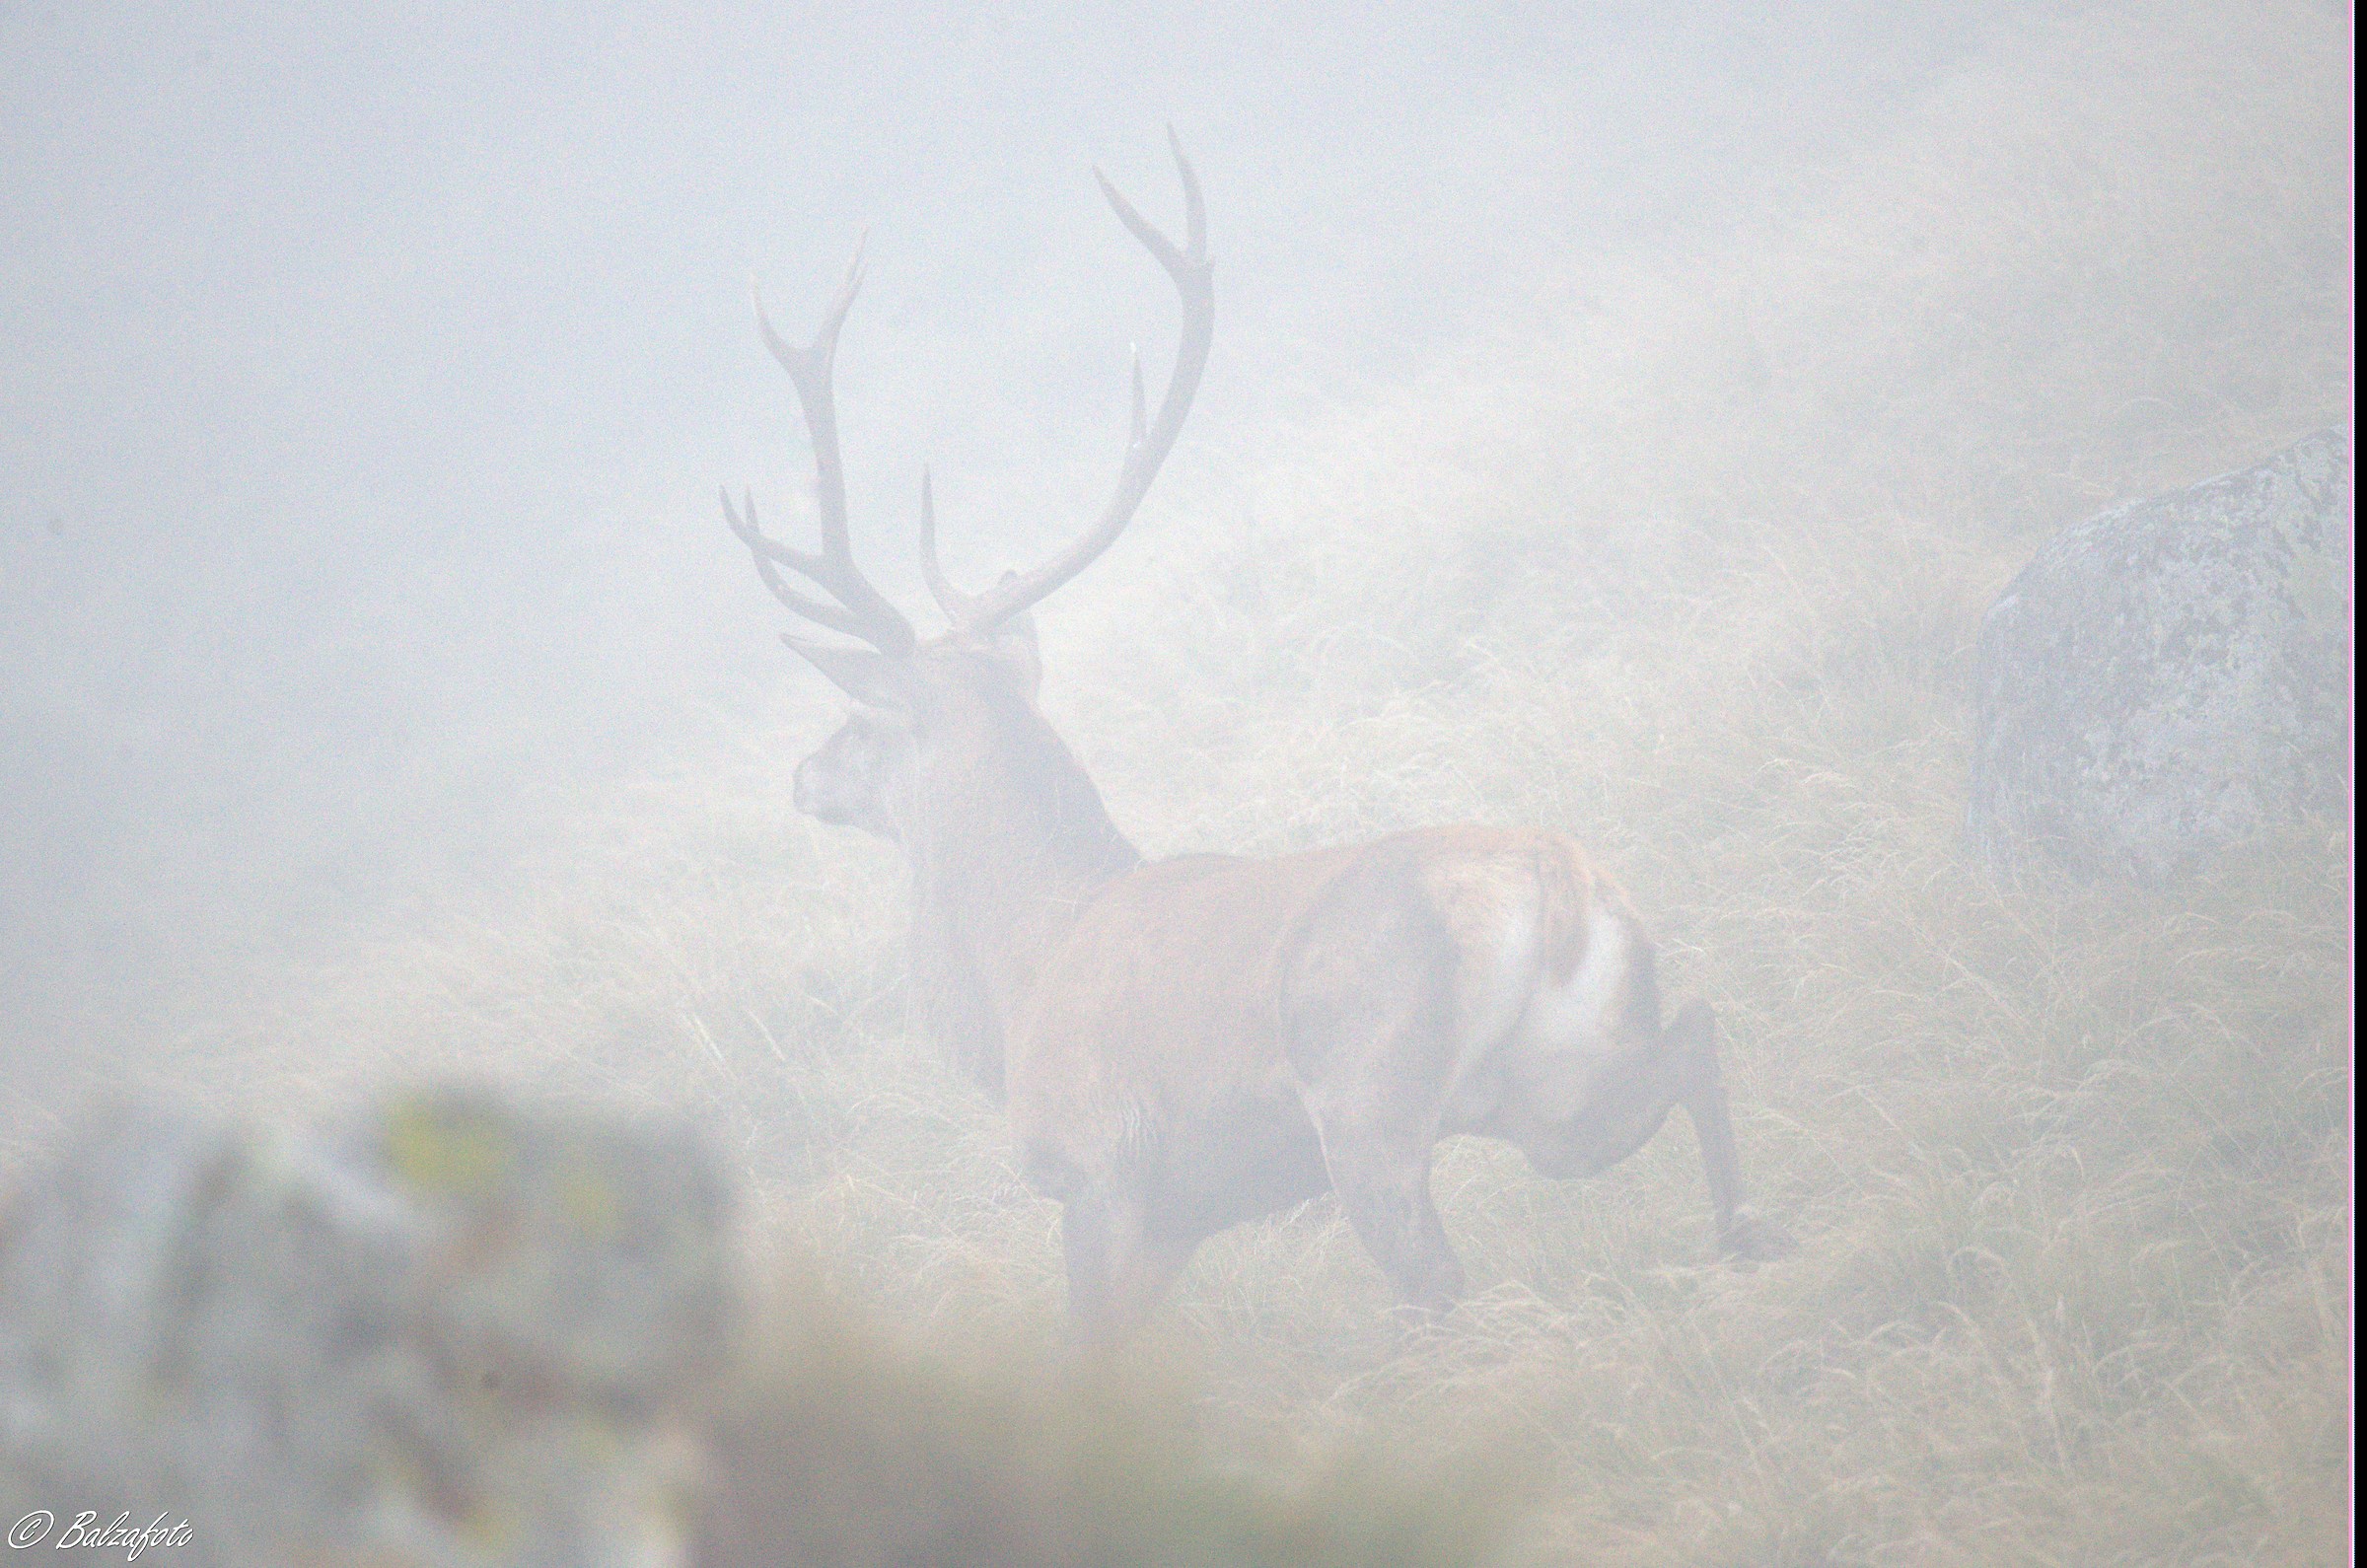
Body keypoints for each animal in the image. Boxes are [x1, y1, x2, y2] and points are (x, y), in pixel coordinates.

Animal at [723, 133, 1790, 1341]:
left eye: (858, 723)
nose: (802, 776)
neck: (1019, 979)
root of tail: (1559, 885)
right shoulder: (1178, 1221)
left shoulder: (1098, 1174)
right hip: (1559, 1087)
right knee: (1693, 1034)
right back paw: (1746, 1232)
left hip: (1368, 1101)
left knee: (1439, 1274)